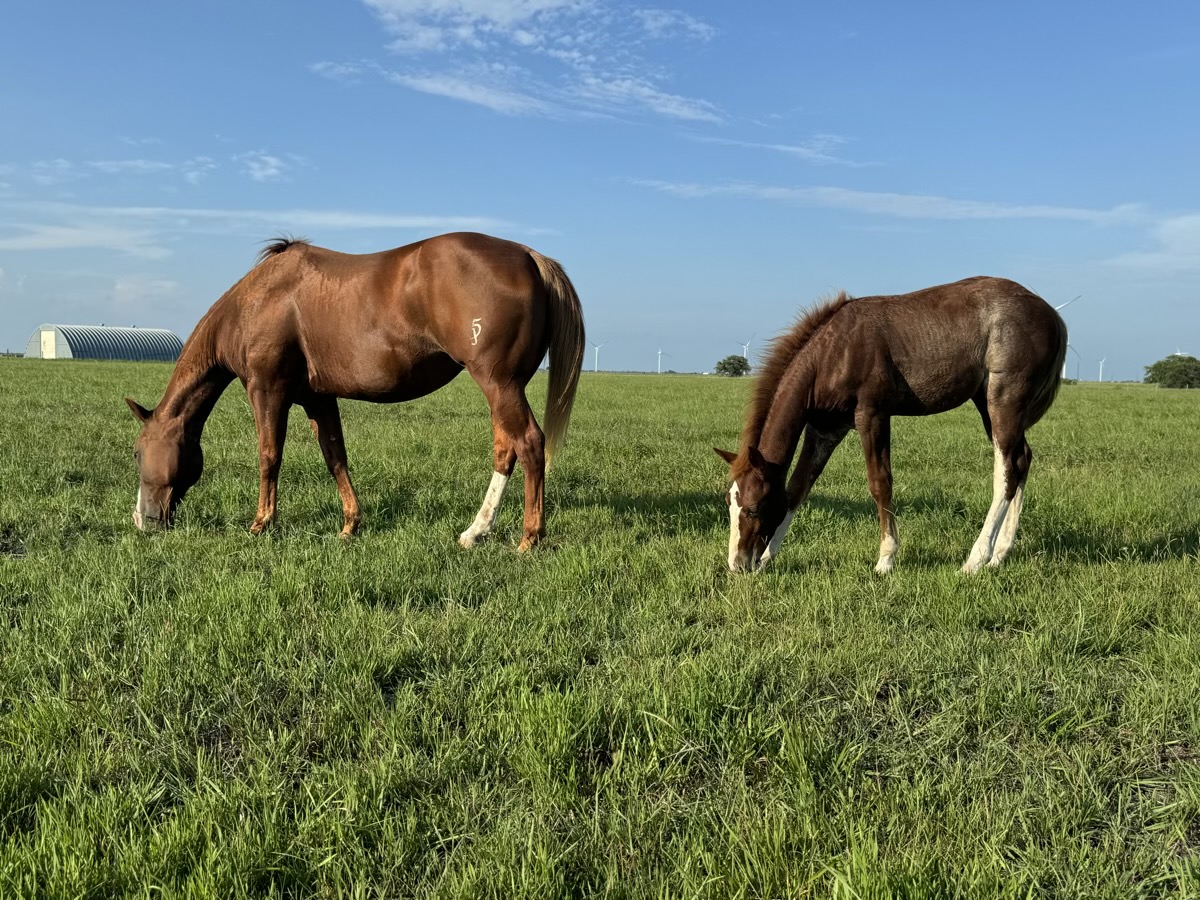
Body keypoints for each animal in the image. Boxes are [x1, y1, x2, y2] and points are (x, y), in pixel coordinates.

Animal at [126, 232, 585, 551]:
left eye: (136, 451)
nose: (142, 520)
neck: (255, 301)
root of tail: (529, 256)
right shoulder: (317, 397)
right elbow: (335, 457)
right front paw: (350, 525)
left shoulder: (266, 389)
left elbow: (269, 456)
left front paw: (261, 524)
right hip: (503, 387)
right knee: (506, 450)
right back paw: (476, 531)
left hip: (498, 383)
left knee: (529, 443)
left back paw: (528, 538)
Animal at [715, 276, 1067, 574]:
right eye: (729, 503)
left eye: (754, 508)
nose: (738, 564)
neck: (834, 352)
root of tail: (1052, 315)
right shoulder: (825, 430)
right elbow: (797, 488)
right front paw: (768, 558)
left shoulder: (872, 416)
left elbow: (879, 483)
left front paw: (886, 559)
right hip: (986, 402)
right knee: (1022, 459)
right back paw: (999, 554)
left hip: (1003, 399)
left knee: (1005, 471)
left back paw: (976, 559)